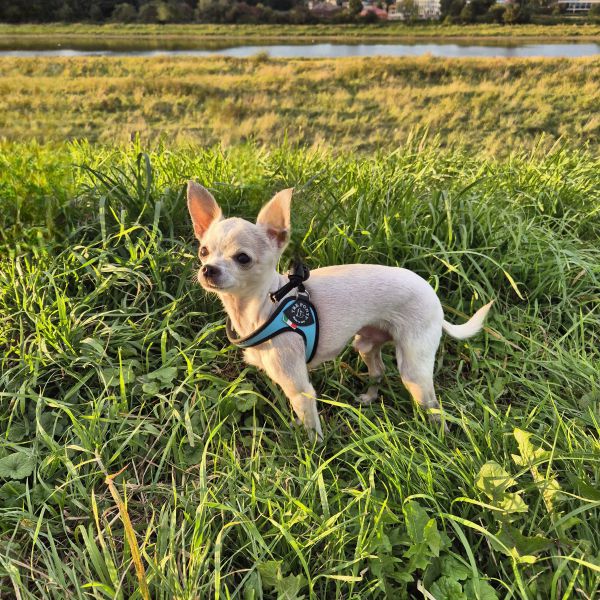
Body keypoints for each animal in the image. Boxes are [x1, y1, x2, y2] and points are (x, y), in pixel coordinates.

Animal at [188, 183, 492, 440]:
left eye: (243, 258)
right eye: (203, 252)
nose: (208, 269)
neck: (266, 304)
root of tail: (434, 296)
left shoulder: (300, 389)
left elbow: (311, 427)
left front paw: (313, 454)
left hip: (414, 370)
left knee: (431, 404)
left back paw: (440, 436)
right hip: (365, 343)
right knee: (378, 370)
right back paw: (369, 397)